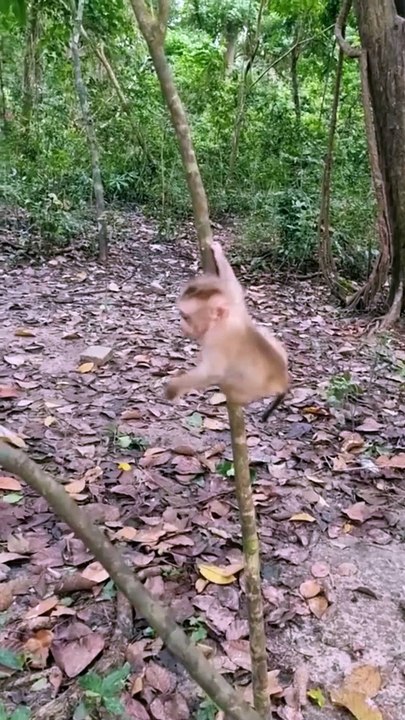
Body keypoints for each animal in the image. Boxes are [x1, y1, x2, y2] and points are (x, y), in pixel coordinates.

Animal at [164, 241, 289, 418]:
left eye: (185, 317)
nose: (181, 324)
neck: (223, 321)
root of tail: (283, 381)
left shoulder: (218, 339)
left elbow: (212, 371)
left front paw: (173, 388)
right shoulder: (233, 304)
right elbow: (234, 287)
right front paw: (218, 252)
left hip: (251, 390)